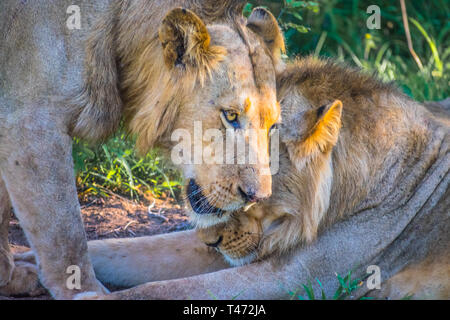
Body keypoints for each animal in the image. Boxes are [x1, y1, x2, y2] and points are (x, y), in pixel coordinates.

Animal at [0, 1, 284, 298]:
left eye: (273, 126)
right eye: (230, 115)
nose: (257, 197)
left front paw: (9, 277)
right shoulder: (31, 121)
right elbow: (64, 232)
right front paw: (85, 290)